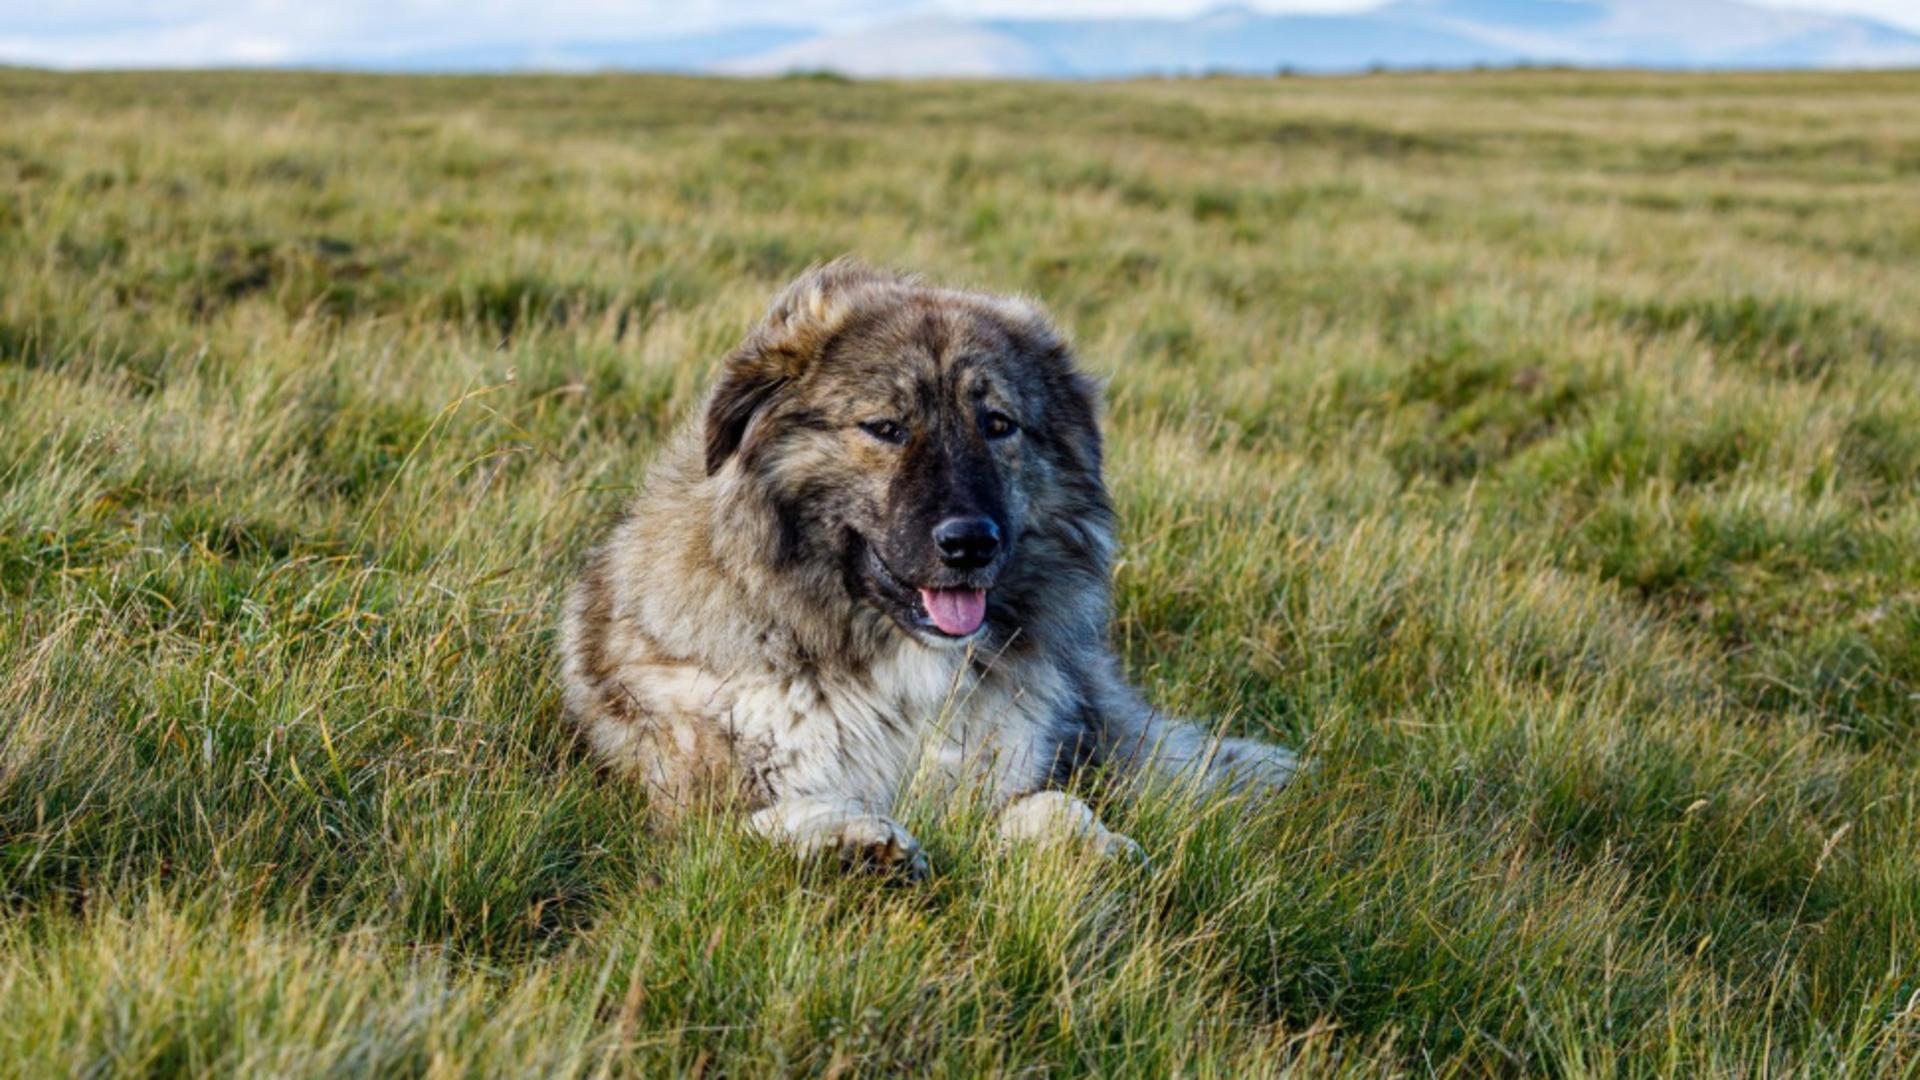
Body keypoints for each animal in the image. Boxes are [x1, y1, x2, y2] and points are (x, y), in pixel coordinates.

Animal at [560, 259, 1297, 876]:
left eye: (998, 424)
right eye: (886, 428)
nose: (971, 543)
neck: (899, 673)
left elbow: (1052, 806)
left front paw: (1089, 847)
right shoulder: (695, 808)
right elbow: (770, 819)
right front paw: (849, 839)